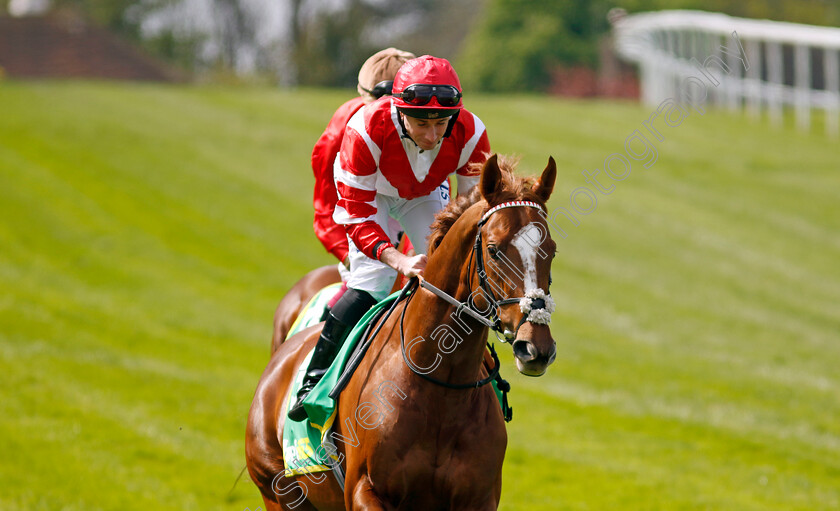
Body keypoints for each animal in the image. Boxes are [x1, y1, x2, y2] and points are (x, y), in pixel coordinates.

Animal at [246, 156, 556, 511]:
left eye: (551, 249)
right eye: (494, 249)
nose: (536, 347)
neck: (441, 390)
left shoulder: (480, 499)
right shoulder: (364, 490)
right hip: (277, 490)